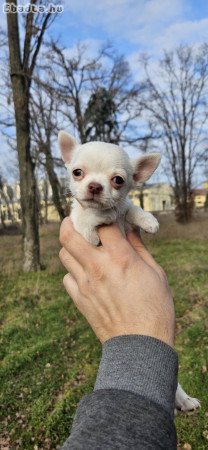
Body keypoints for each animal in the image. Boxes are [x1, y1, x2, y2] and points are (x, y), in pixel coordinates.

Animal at [58, 129, 200, 412]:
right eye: (77, 172)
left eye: (118, 180)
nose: (94, 186)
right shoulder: (83, 230)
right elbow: (92, 217)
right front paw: (105, 214)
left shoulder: (126, 209)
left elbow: (129, 207)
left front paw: (149, 220)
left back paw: (184, 399)